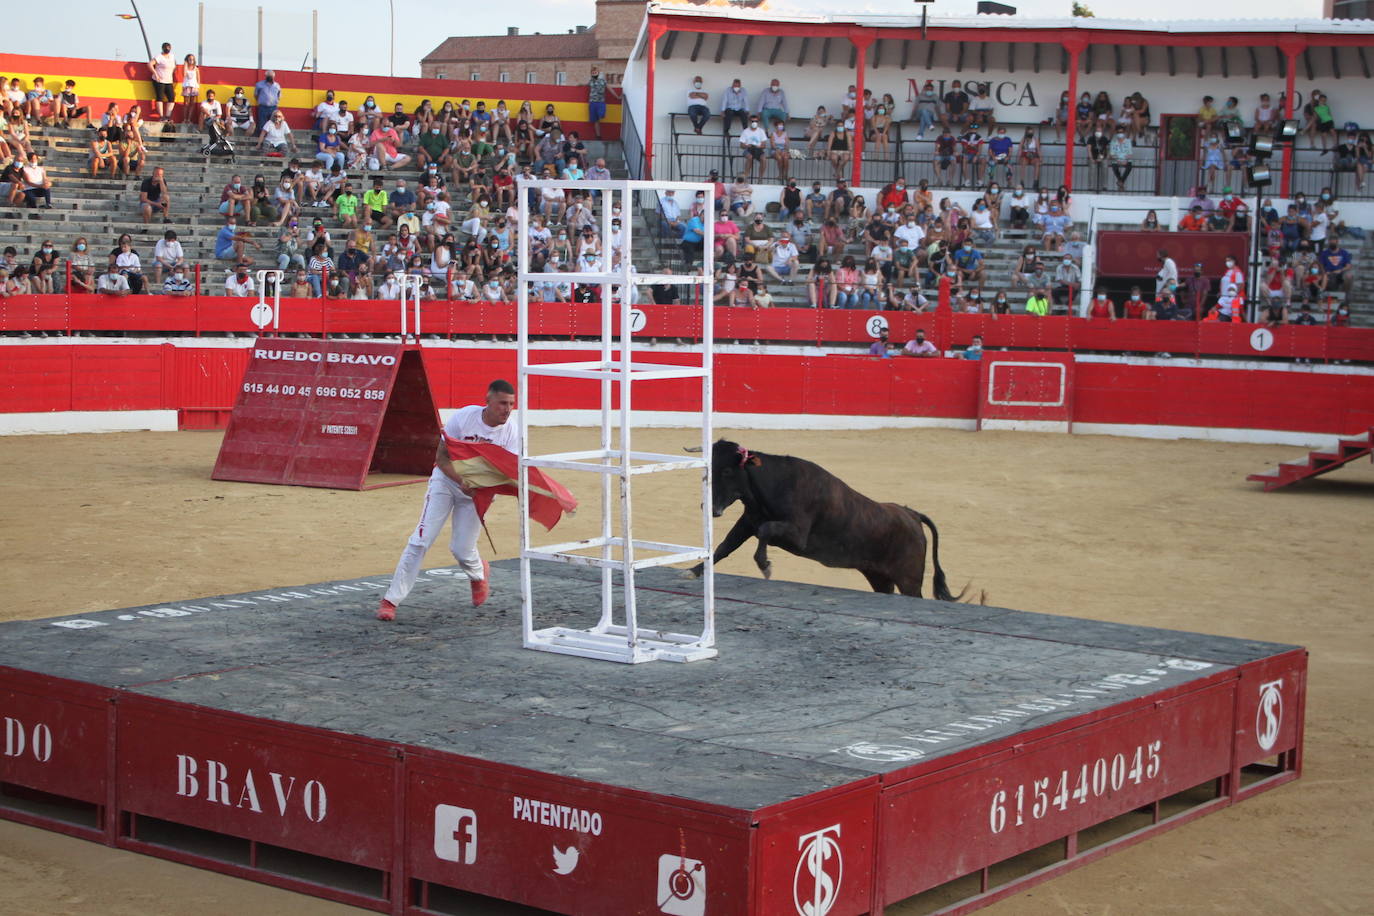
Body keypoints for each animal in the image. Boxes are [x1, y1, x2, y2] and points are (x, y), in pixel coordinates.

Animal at [687, 439, 967, 601]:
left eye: (726, 470)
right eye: (708, 468)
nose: (708, 507)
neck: (774, 485)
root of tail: (911, 514)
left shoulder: (796, 535)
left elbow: (765, 531)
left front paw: (764, 564)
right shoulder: (748, 522)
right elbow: (724, 547)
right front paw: (694, 571)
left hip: (909, 578)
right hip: (880, 577)